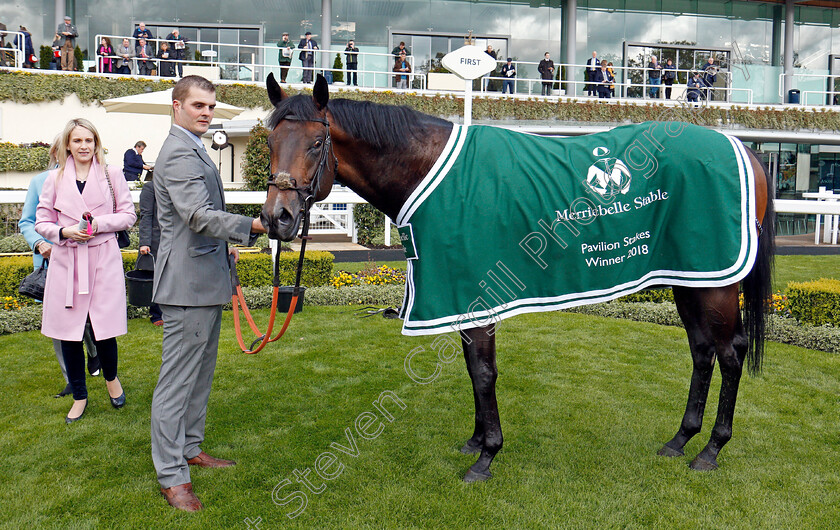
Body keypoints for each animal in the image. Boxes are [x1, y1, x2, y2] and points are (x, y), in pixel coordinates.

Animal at [260, 72, 776, 480]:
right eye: (269, 143)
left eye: (316, 144)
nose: (277, 218)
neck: (430, 174)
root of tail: (744, 151)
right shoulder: (460, 296)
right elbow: (472, 369)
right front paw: (475, 441)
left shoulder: (474, 293)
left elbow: (483, 371)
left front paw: (486, 456)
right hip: (689, 278)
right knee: (702, 352)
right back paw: (681, 439)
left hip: (717, 286)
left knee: (730, 355)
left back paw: (711, 450)